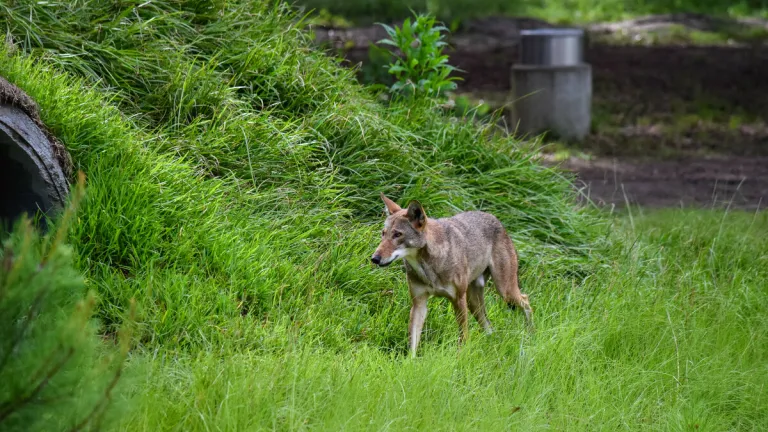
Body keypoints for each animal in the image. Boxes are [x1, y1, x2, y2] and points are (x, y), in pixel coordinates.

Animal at [371, 193, 533, 357]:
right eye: (383, 234)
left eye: (397, 234)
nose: (374, 258)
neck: (429, 268)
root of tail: (495, 219)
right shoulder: (419, 303)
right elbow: (413, 342)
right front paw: (410, 361)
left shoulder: (458, 300)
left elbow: (463, 336)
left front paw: (460, 357)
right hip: (474, 302)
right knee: (489, 327)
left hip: (503, 291)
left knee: (526, 301)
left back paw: (529, 335)